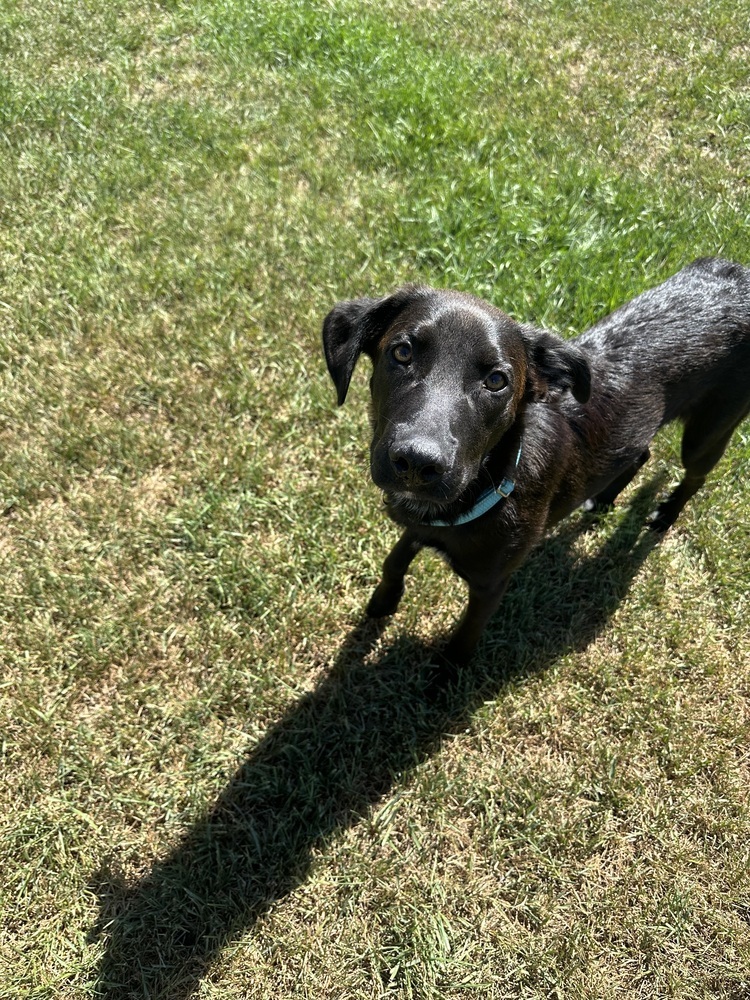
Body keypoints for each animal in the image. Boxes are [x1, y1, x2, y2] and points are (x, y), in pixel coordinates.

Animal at [324, 258, 750, 668]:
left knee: (695, 475)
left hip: (708, 431)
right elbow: (395, 559)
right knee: (640, 453)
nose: (416, 462)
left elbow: (463, 640)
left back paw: (666, 514)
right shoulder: (420, 522)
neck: (490, 479)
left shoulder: (490, 584)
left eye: (497, 381)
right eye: (402, 352)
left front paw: (443, 678)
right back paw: (603, 500)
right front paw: (383, 601)